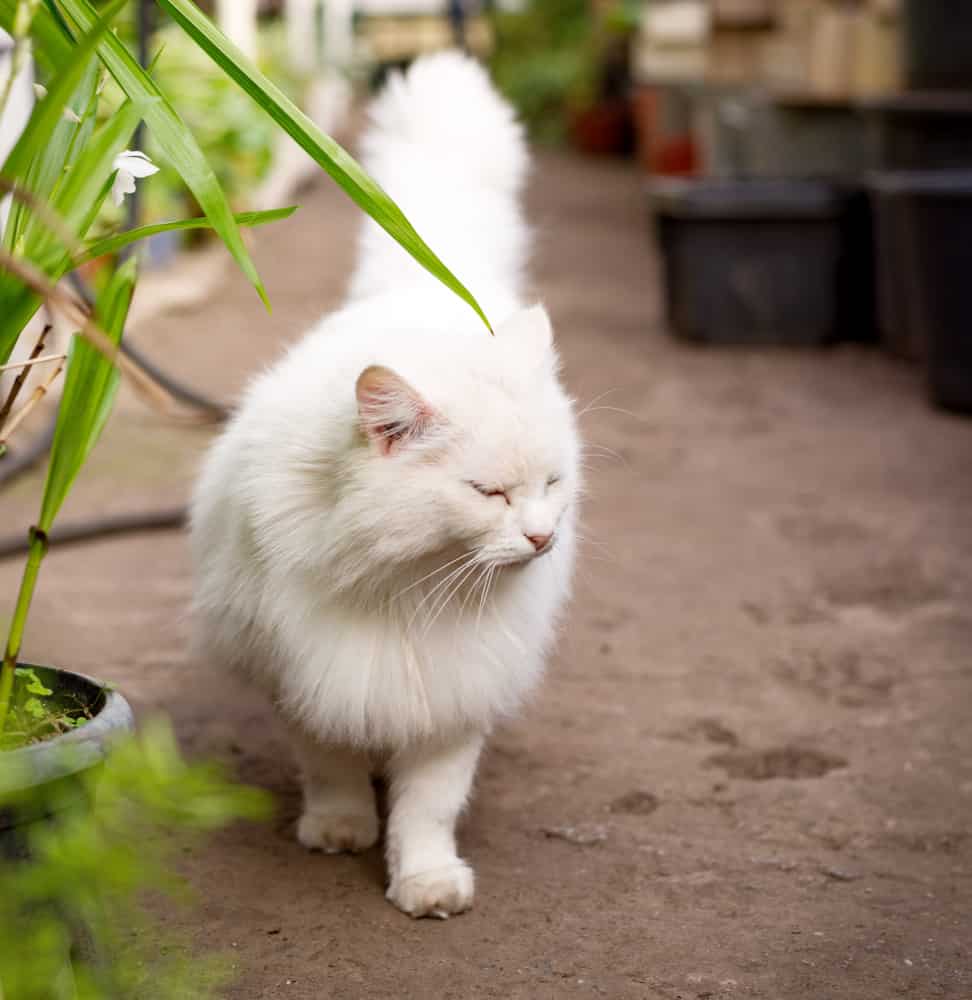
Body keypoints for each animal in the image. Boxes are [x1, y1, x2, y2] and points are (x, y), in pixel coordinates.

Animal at [194, 50, 580, 916]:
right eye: (489, 494)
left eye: (552, 484)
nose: (542, 537)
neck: (404, 587)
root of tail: (421, 289)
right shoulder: (307, 673)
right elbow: (331, 767)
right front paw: (339, 830)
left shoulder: (454, 692)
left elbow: (428, 807)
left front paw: (426, 882)